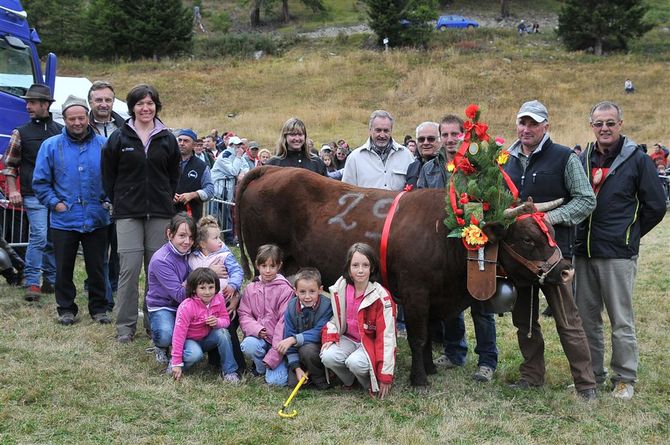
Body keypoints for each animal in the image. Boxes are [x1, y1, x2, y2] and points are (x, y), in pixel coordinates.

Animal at [236, 166, 572, 386]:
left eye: (552, 231)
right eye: (527, 239)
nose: (565, 270)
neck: (444, 235)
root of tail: (272, 168)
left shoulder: (433, 298)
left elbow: (428, 336)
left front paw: (429, 369)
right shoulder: (416, 294)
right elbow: (419, 336)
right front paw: (419, 379)